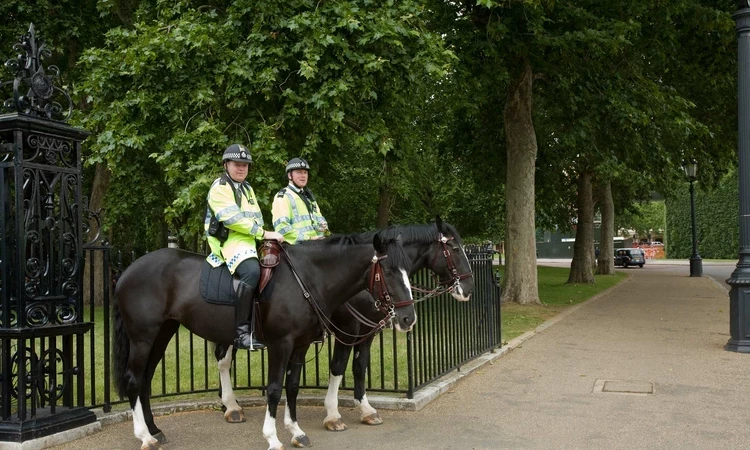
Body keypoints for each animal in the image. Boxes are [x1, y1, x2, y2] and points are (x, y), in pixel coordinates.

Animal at [113, 230, 418, 448]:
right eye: (389, 271)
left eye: (408, 269)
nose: (408, 319)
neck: (306, 279)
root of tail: (127, 271)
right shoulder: (281, 345)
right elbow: (273, 388)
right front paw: (273, 437)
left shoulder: (300, 345)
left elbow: (292, 386)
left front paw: (296, 431)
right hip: (142, 337)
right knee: (133, 379)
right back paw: (145, 436)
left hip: (163, 332)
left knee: (145, 379)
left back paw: (155, 430)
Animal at [214, 220, 472, 430]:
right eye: (455, 249)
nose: (468, 289)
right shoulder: (347, 332)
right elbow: (338, 367)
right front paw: (333, 414)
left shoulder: (367, 333)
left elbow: (359, 367)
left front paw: (366, 409)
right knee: (224, 359)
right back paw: (231, 406)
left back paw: (229, 404)